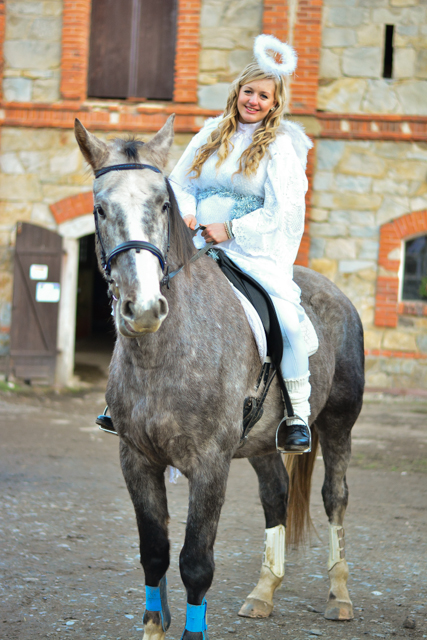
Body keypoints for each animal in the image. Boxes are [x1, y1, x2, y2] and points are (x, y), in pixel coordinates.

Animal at [74, 115, 365, 640]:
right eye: (100, 209)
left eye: (162, 204)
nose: (143, 309)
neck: (161, 355)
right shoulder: (137, 460)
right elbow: (154, 555)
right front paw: (154, 626)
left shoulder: (210, 463)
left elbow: (195, 563)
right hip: (263, 442)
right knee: (276, 496)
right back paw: (263, 593)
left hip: (338, 424)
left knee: (335, 497)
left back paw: (340, 596)